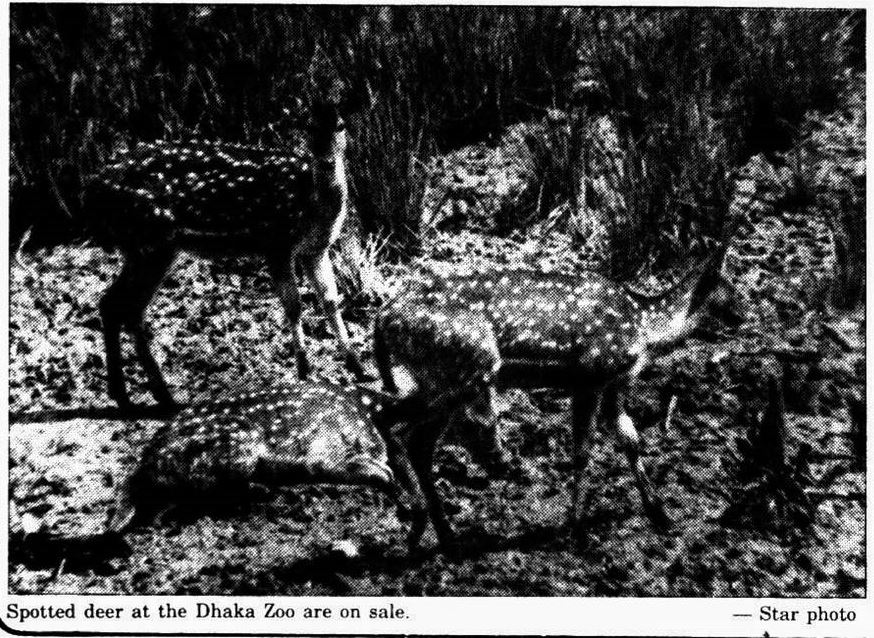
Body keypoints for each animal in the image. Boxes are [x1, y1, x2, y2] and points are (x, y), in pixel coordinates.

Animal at [83, 95, 367, 409]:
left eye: (341, 125)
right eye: (309, 126)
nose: (326, 161)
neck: (312, 205)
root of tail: (92, 190)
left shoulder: (316, 249)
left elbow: (330, 301)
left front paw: (359, 368)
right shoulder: (275, 241)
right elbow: (294, 306)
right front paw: (305, 371)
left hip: (144, 248)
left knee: (116, 305)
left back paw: (131, 395)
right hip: (151, 242)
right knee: (125, 306)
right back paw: (156, 395)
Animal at [372, 228, 741, 550]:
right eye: (732, 288)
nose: (745, 315)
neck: (645, 326)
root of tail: (381, 318)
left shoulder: (615, 383)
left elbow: (631, 440)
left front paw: (660, 515)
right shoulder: (590, 375)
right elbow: (582, 452)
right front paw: (576, 531)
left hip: (438, 378)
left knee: (409, 436)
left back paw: (444, 536)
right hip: (467, 368)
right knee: (399, 427)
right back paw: (421, 525)